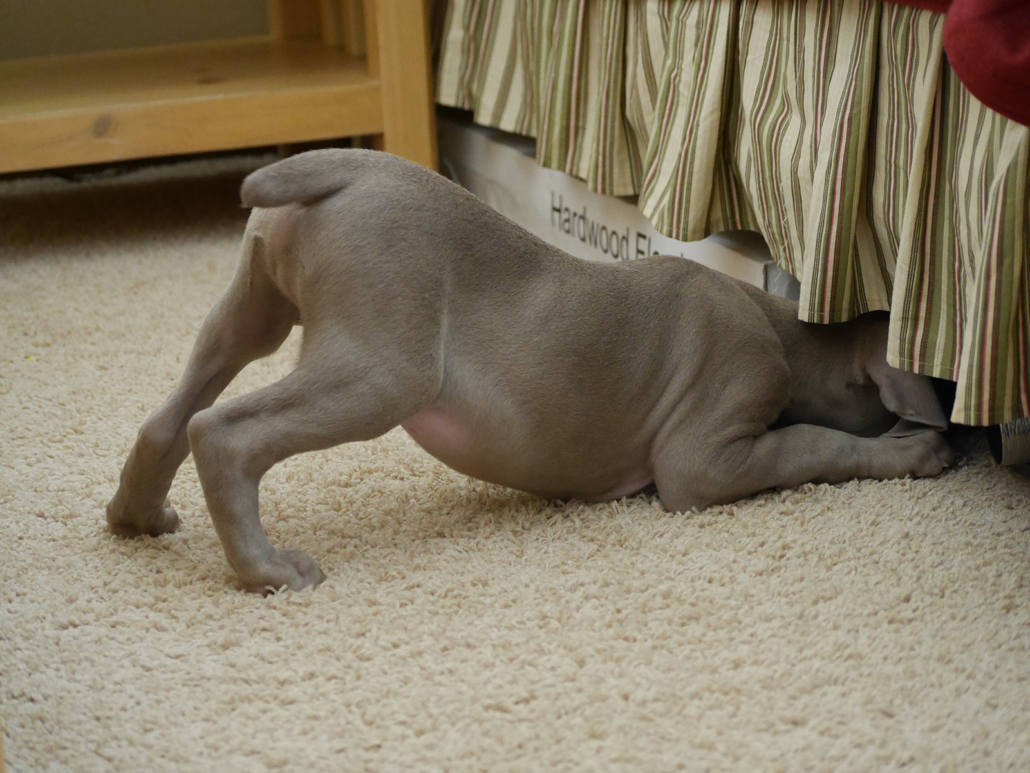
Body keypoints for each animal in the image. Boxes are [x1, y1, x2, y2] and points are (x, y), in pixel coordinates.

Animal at [107, 149, 954, 593]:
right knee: (223, 432)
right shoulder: (709, 452)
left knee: (169, 416)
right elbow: (812, 445)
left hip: (255, 307)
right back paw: (268, 570)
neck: (785, 326)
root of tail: (347, 165)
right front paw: (913, 449)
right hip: (381, 368)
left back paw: (136, 516)